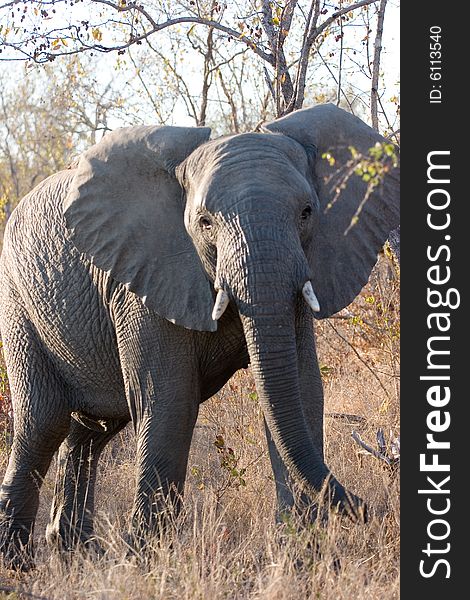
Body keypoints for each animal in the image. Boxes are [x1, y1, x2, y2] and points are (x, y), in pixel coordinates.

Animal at [0, 104, 400, 572]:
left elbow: (299, 389)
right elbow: (169, 398)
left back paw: (77, 553)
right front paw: (147, 564)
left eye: (306, 212)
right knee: (43, 423)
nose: (375, 510)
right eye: (205, 222)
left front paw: (305, 559)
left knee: (90, 429)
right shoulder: (146, 276)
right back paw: (19, 563)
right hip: (19, 303)